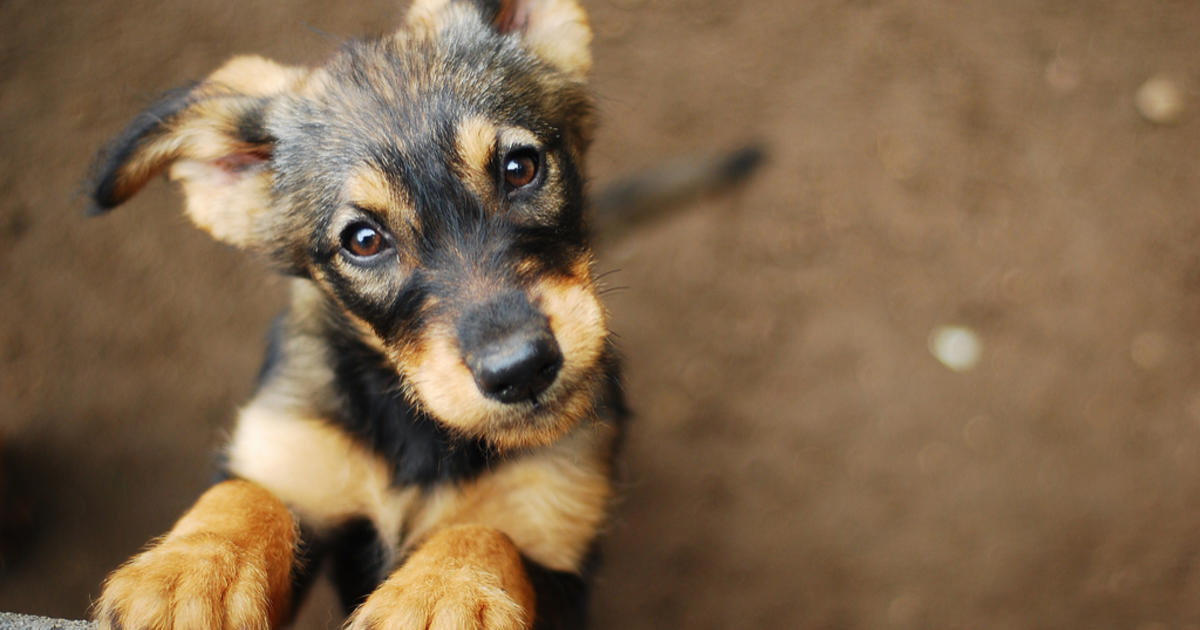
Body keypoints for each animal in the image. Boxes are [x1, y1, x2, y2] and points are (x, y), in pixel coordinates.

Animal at [84, 2, 758, 624]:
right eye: (363, 240)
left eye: (520, 168)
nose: (521, 370)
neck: (423, 435)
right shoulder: (291, 451)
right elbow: (245, 493)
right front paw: (191, 571)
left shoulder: (557, 548)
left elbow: (483, 533)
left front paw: (440, 595)